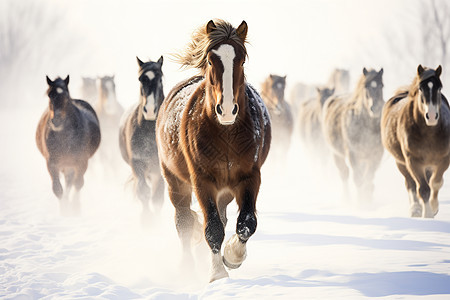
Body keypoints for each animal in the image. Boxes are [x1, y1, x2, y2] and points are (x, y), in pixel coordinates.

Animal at [36, 76, 101, 214]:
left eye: (66, 95)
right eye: (49, 94)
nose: (56, 120)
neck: (65, 138)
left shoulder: (82, 162)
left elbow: (78, 184)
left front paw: (75, 208)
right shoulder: (52, 163)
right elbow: (57, 188)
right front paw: (64, 211)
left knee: (71, 182)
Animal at [156, 19, 270, 282]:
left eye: (242, 60)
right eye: (210, 60)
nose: (226, 110)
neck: (226, 134)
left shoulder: (249, 177)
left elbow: (246, 223)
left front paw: (233, 257)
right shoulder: (202, 181)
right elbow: (212, 229)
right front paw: (217, 274)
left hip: (224, 189)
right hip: (175, 182)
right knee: (184, 221)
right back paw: (187, 266)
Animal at [322, 68, 384, 203]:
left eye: (382, 85)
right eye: (366, 86)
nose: (375, 108)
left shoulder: (376, 155)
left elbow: (369, 177)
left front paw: (368, 200)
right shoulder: (353, 154)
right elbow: (358, 179)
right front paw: (361, 203)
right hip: (337, 154)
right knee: (344, 174)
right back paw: (347, 199)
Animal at [380, 65, 450, 218]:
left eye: (440, 88)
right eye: (420, 89)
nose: (431, 116)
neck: (430, 134)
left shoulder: (444, 159)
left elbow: (435, 183)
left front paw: (433, 208)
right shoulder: (413, 161)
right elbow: (423, 189)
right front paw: (427, 214)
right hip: (402, 163)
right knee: (411, 184)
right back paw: (415, 209)